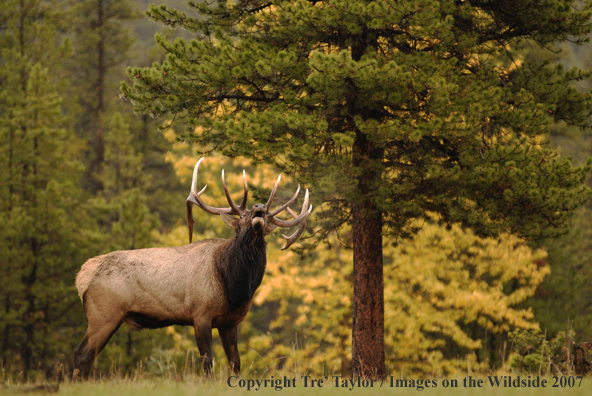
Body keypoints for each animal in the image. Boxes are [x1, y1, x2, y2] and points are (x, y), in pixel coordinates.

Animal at [72, 158, 312, 380]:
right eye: (242, 216)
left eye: (266, 217)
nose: (259, 208)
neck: (234, 287)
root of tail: (82, 276)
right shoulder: (200, 313)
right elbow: (207, 361)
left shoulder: (230, 322)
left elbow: (235, 362)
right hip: (103, 314)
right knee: (81, 354)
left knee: (87, 356)